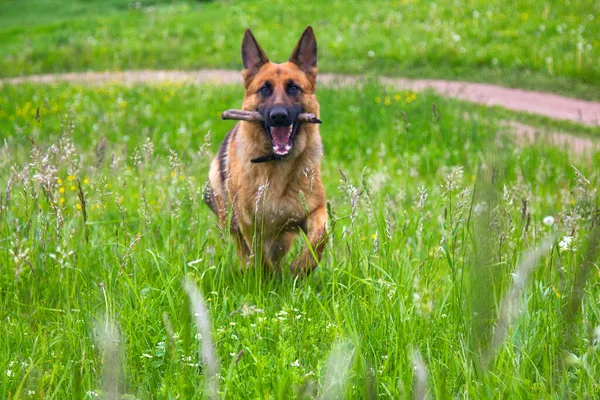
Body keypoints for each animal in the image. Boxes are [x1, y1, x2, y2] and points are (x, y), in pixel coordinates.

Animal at [206, 27, 328, 276]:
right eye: (264, 89)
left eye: (293, 87)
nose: (278, 115)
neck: (278, 166)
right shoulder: (249, 223)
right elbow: (259, 258)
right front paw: (267, 277)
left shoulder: (315, 210)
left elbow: (320, 235)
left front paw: (302, 266)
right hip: (231, 220)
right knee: (245, 251)